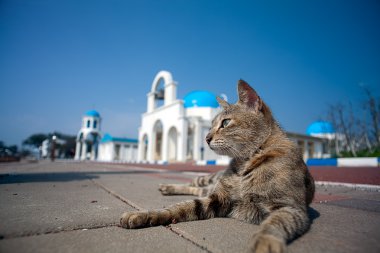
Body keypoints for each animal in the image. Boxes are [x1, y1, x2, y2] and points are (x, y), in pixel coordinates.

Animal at [121, 79, 314, 253]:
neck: (246, 162)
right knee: (193, 184)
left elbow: (273, 224)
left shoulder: (288, 207)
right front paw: (145, 214)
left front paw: (264, 242)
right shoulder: (218, 199)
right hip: (207, 179)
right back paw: (168, 187)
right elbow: (179, 207)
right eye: (211, 125)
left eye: (225, 123)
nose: (206, 138)